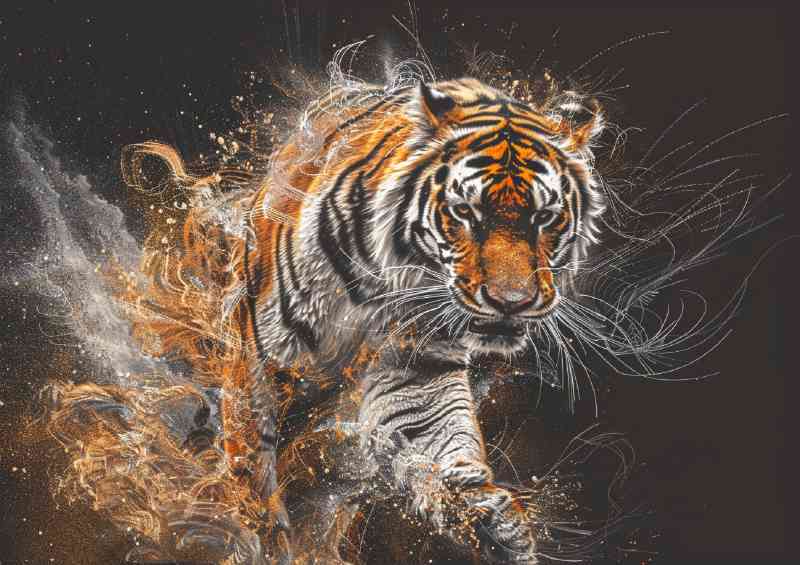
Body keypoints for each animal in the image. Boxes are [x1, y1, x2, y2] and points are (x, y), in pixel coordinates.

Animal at [126, 77, 606, 564]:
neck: (382, 287)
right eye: (464, 212)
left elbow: (437, 437)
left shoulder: (419, 368)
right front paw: (261, 535)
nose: (511, 302)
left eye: (544, 217)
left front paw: (494, 525)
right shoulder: (259, 358)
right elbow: (253, 463)